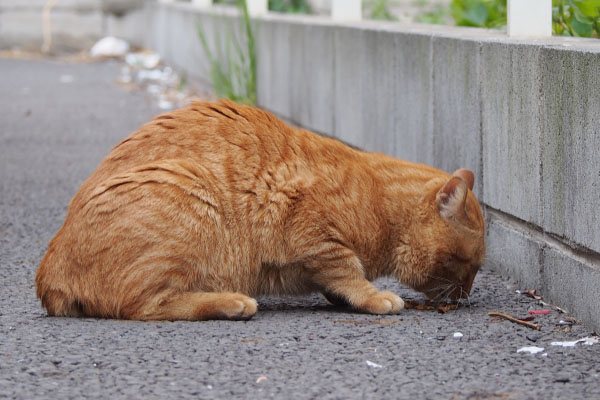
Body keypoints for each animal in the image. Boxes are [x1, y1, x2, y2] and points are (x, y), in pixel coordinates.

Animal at [35, 101, 488, 322]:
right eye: (468, 264)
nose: (466, 295)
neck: (377, 198)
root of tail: (47, 274)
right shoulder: (313, 231)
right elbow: (347, 270)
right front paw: (373, 296)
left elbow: (337, 280)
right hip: (188, 195)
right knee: (144, 307)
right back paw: (232, 303)